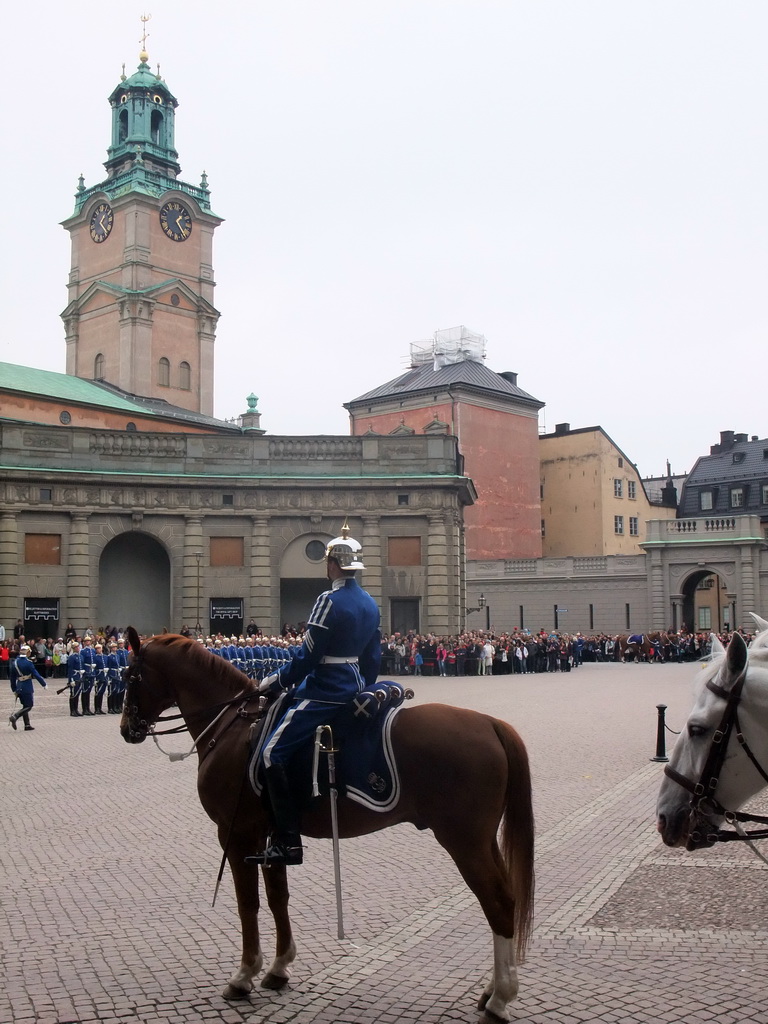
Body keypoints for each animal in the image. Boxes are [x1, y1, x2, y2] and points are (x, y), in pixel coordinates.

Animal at [118, 626, 536, 1019]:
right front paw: (279, 968)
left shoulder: (236, 835)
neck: (231, 728)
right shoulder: (273, 836)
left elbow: (248, 903)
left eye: (130, 675)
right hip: (484, 841)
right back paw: (490, 990)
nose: (126, 729)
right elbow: (278, 897)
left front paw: (244, 974)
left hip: (464, 841)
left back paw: (500, 998)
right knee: (508, 898)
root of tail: (490, 723)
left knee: (498, 902)